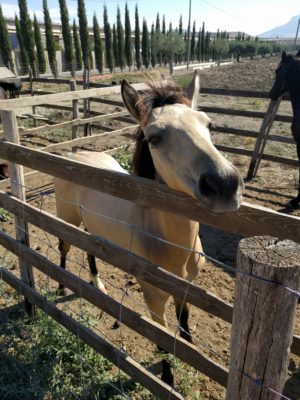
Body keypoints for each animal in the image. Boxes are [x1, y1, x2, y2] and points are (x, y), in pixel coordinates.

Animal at [53, 73, 244, 386]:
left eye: (209, 125)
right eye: (154, 138)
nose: (225, 184)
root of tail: (76, 153)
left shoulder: (185, 287)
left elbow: (184, 323)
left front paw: (191, 353)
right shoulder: (154, 297)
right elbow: (163, 341)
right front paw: (168, 378)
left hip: (92, 227)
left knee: (91, 251)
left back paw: (98, 284)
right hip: (67, 220)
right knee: (64, 248)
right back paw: (60, 286)